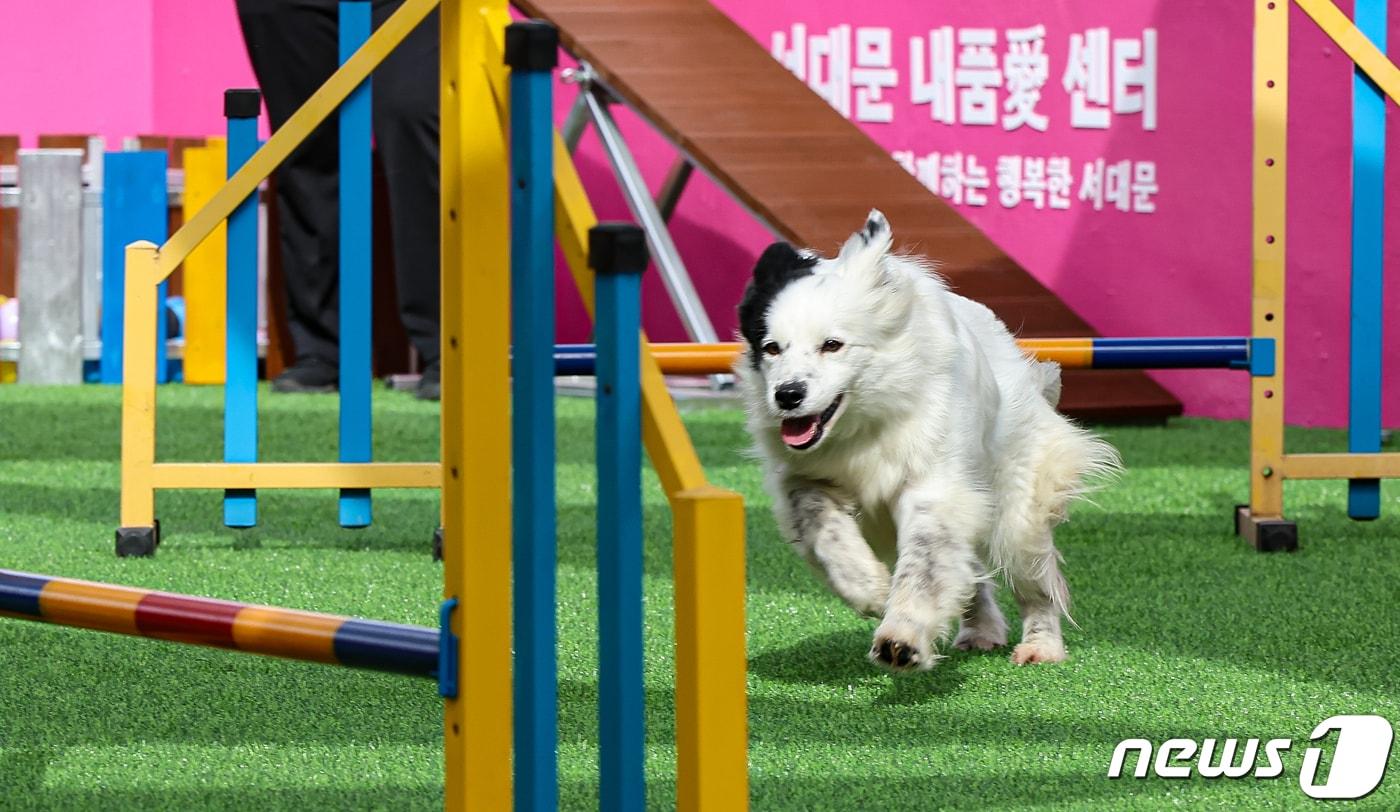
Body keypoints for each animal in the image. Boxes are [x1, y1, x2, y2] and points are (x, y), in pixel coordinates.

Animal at [733, 210, 1114, 672]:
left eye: (832, 345)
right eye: (771, 348)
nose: (787, 395)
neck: (868, 417)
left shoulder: (935, 485)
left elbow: (925, 563)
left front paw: (901, 639)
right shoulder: (805, 477)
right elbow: (822, 525)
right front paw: (869, 589)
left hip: (1018, 511)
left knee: (1033, 581)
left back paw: (1041, 646)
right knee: (969, 573)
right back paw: (980, 631)